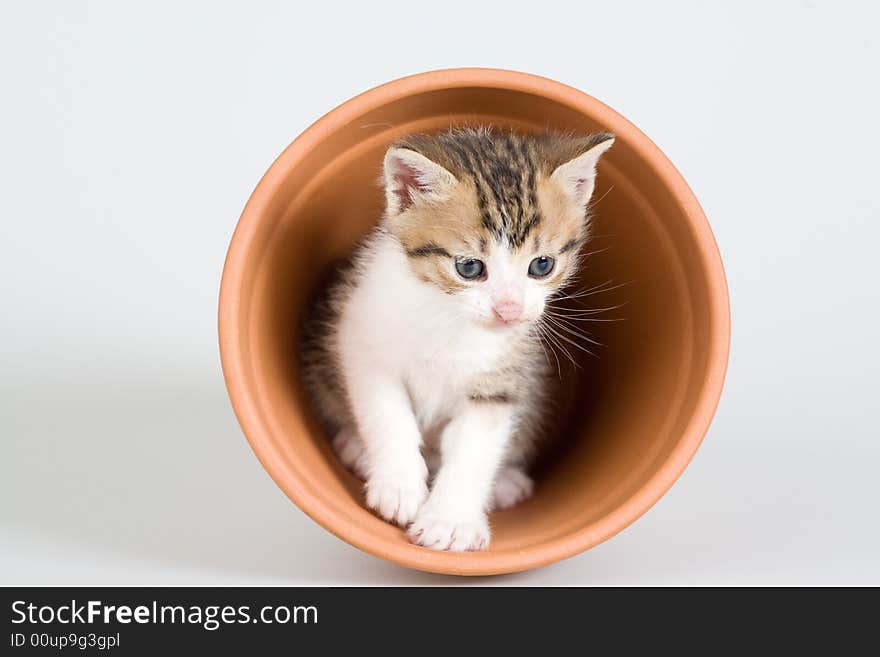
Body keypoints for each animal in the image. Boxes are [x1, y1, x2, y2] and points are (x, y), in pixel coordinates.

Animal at [300, 127, 612, 548]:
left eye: (542, 265)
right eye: (469, 268)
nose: (508, 310)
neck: (451, 317)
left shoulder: (501, 379)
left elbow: (474, 449)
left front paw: (450, 521)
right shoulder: (360, 336)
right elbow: (387, 413)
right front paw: (398, 486)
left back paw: (506, 483)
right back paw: (355, 448)